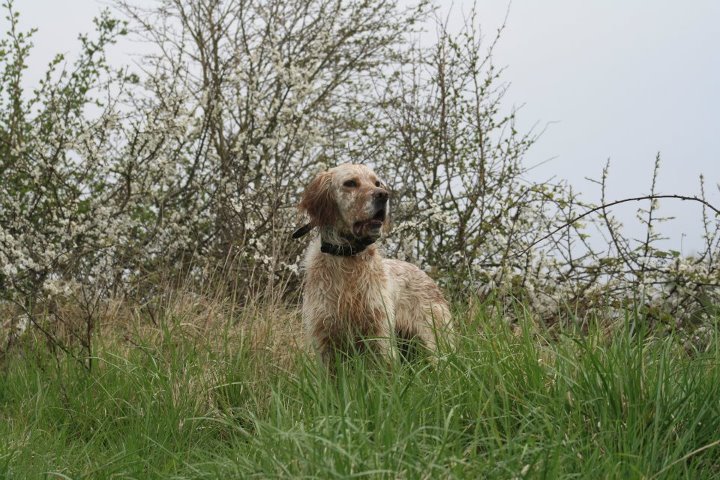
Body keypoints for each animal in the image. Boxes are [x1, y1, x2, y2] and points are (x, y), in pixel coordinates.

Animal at [292, 163, 450, 366]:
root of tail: (425, 276)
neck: (347, 258)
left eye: (377, 183)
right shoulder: (324, 339)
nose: (383, 195)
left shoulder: (379, 334)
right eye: (350, 183)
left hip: (433, 343)